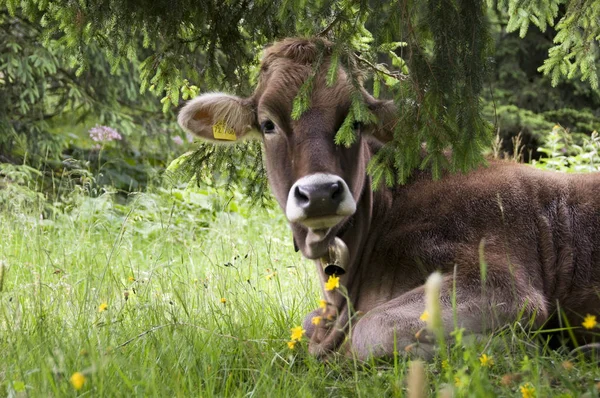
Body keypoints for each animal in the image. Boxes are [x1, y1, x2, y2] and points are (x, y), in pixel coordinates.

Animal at [178, 38, 600, 360]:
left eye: (356, 122)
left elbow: (371, 329)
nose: (320, 193)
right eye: (268, 124)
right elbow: (308, 324)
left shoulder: (502, 283)